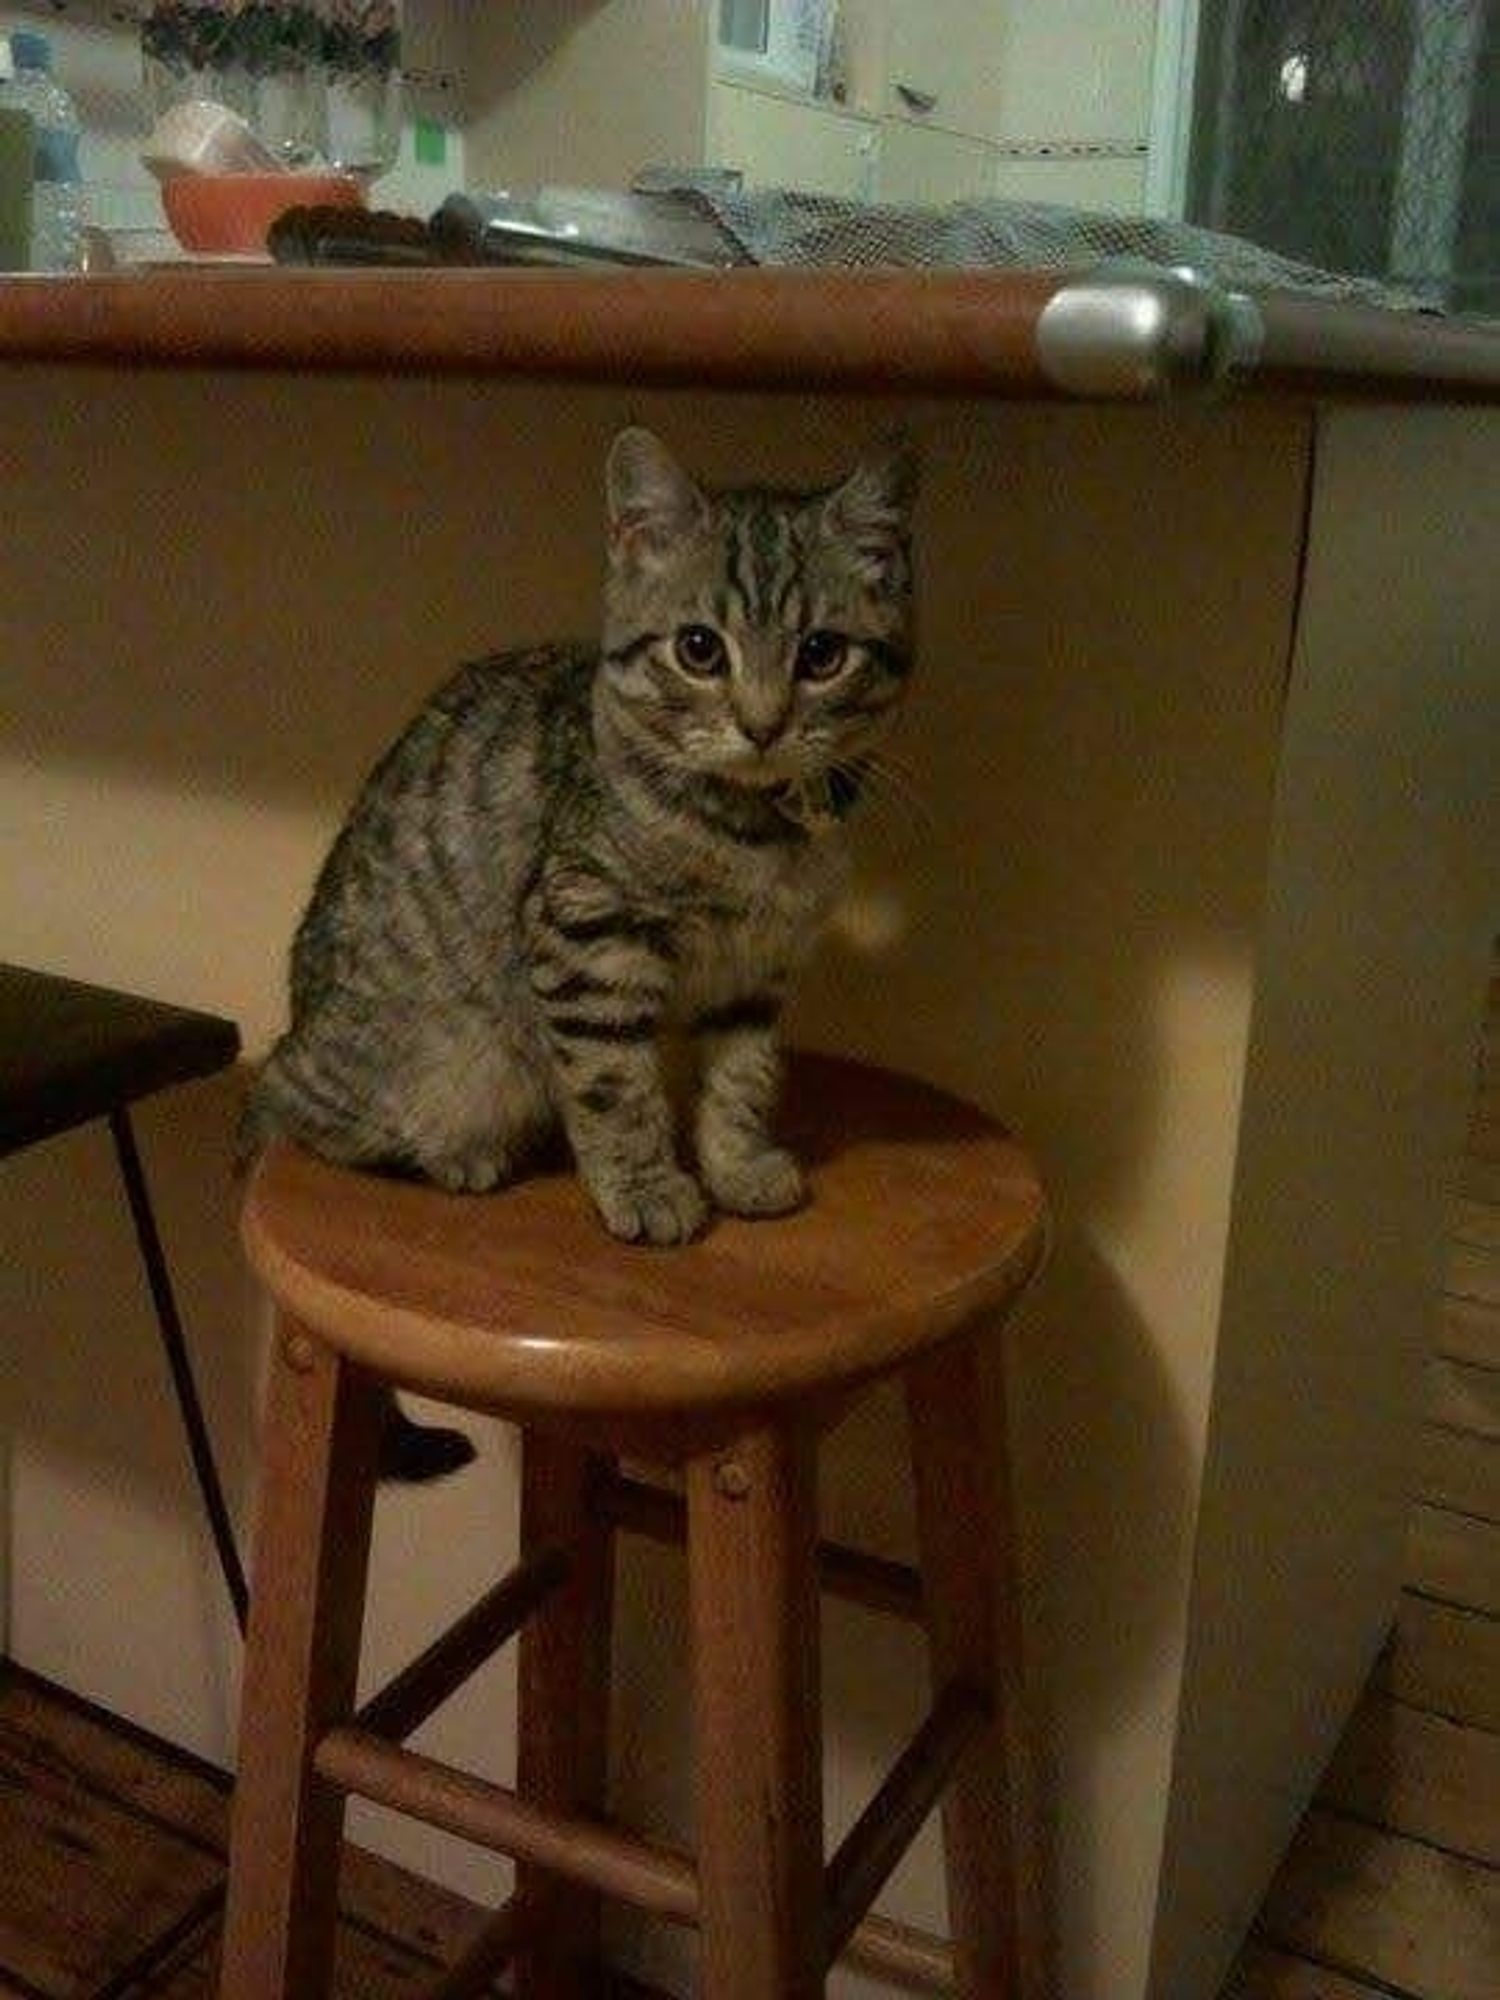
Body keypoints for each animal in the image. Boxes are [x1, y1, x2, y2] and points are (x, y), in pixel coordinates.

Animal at [247, 430, 916, 1256]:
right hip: (445, 1057)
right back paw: (456, 1152)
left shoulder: (758, 972)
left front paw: (736, 1166)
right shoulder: (588, 933)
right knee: (291, 1110)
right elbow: (614, 1083)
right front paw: (646, 1187)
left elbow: (742, 1078)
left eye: (822, 654)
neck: (754, 835)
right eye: (700, 649)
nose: (763, 726)